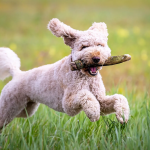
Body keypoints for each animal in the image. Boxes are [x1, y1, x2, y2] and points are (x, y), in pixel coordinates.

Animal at [0, 17, 129, 127]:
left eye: (100, 45)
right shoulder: (68, 104)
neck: (85, 76)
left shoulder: (101, 100)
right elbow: (84, 95)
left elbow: (119, 98)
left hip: (26, 109)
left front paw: (123, 115)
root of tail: (17, 74)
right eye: (84, 47)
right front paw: (93, 112)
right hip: (8, 105)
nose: (96, 58)